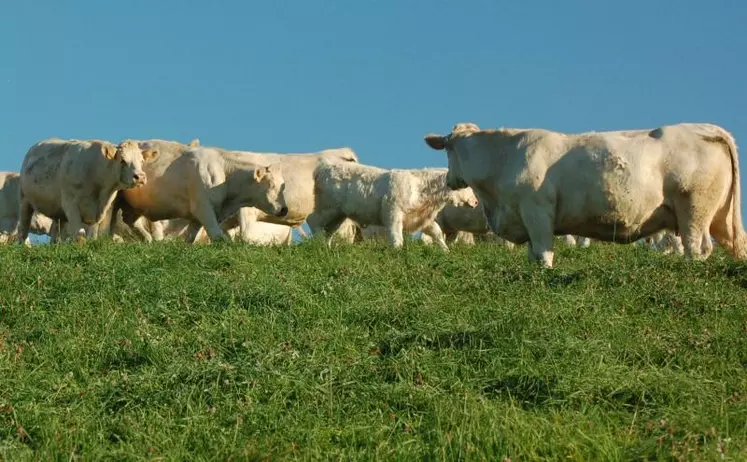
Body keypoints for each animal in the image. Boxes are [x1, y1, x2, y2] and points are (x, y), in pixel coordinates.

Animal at [310, 162, 480, 249]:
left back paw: (326, 248)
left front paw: (445, 251)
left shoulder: (422, 219)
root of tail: (324, 168)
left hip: (339, 215)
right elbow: (397, 238)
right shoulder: (393, 214)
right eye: (466, 185)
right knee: (313, 221)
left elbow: (437, 233)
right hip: (328, 208)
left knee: (329, 231)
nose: (476, 202)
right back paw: (319, 243)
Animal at [426, 122, 747, 268]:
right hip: (719, 217)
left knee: (696, 247)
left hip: (694, 210)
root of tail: (703, 128)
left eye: (448, 150)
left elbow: (543, 252)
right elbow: (533, 255)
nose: (449, 180)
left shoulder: (537, 212)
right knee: (738, 245)